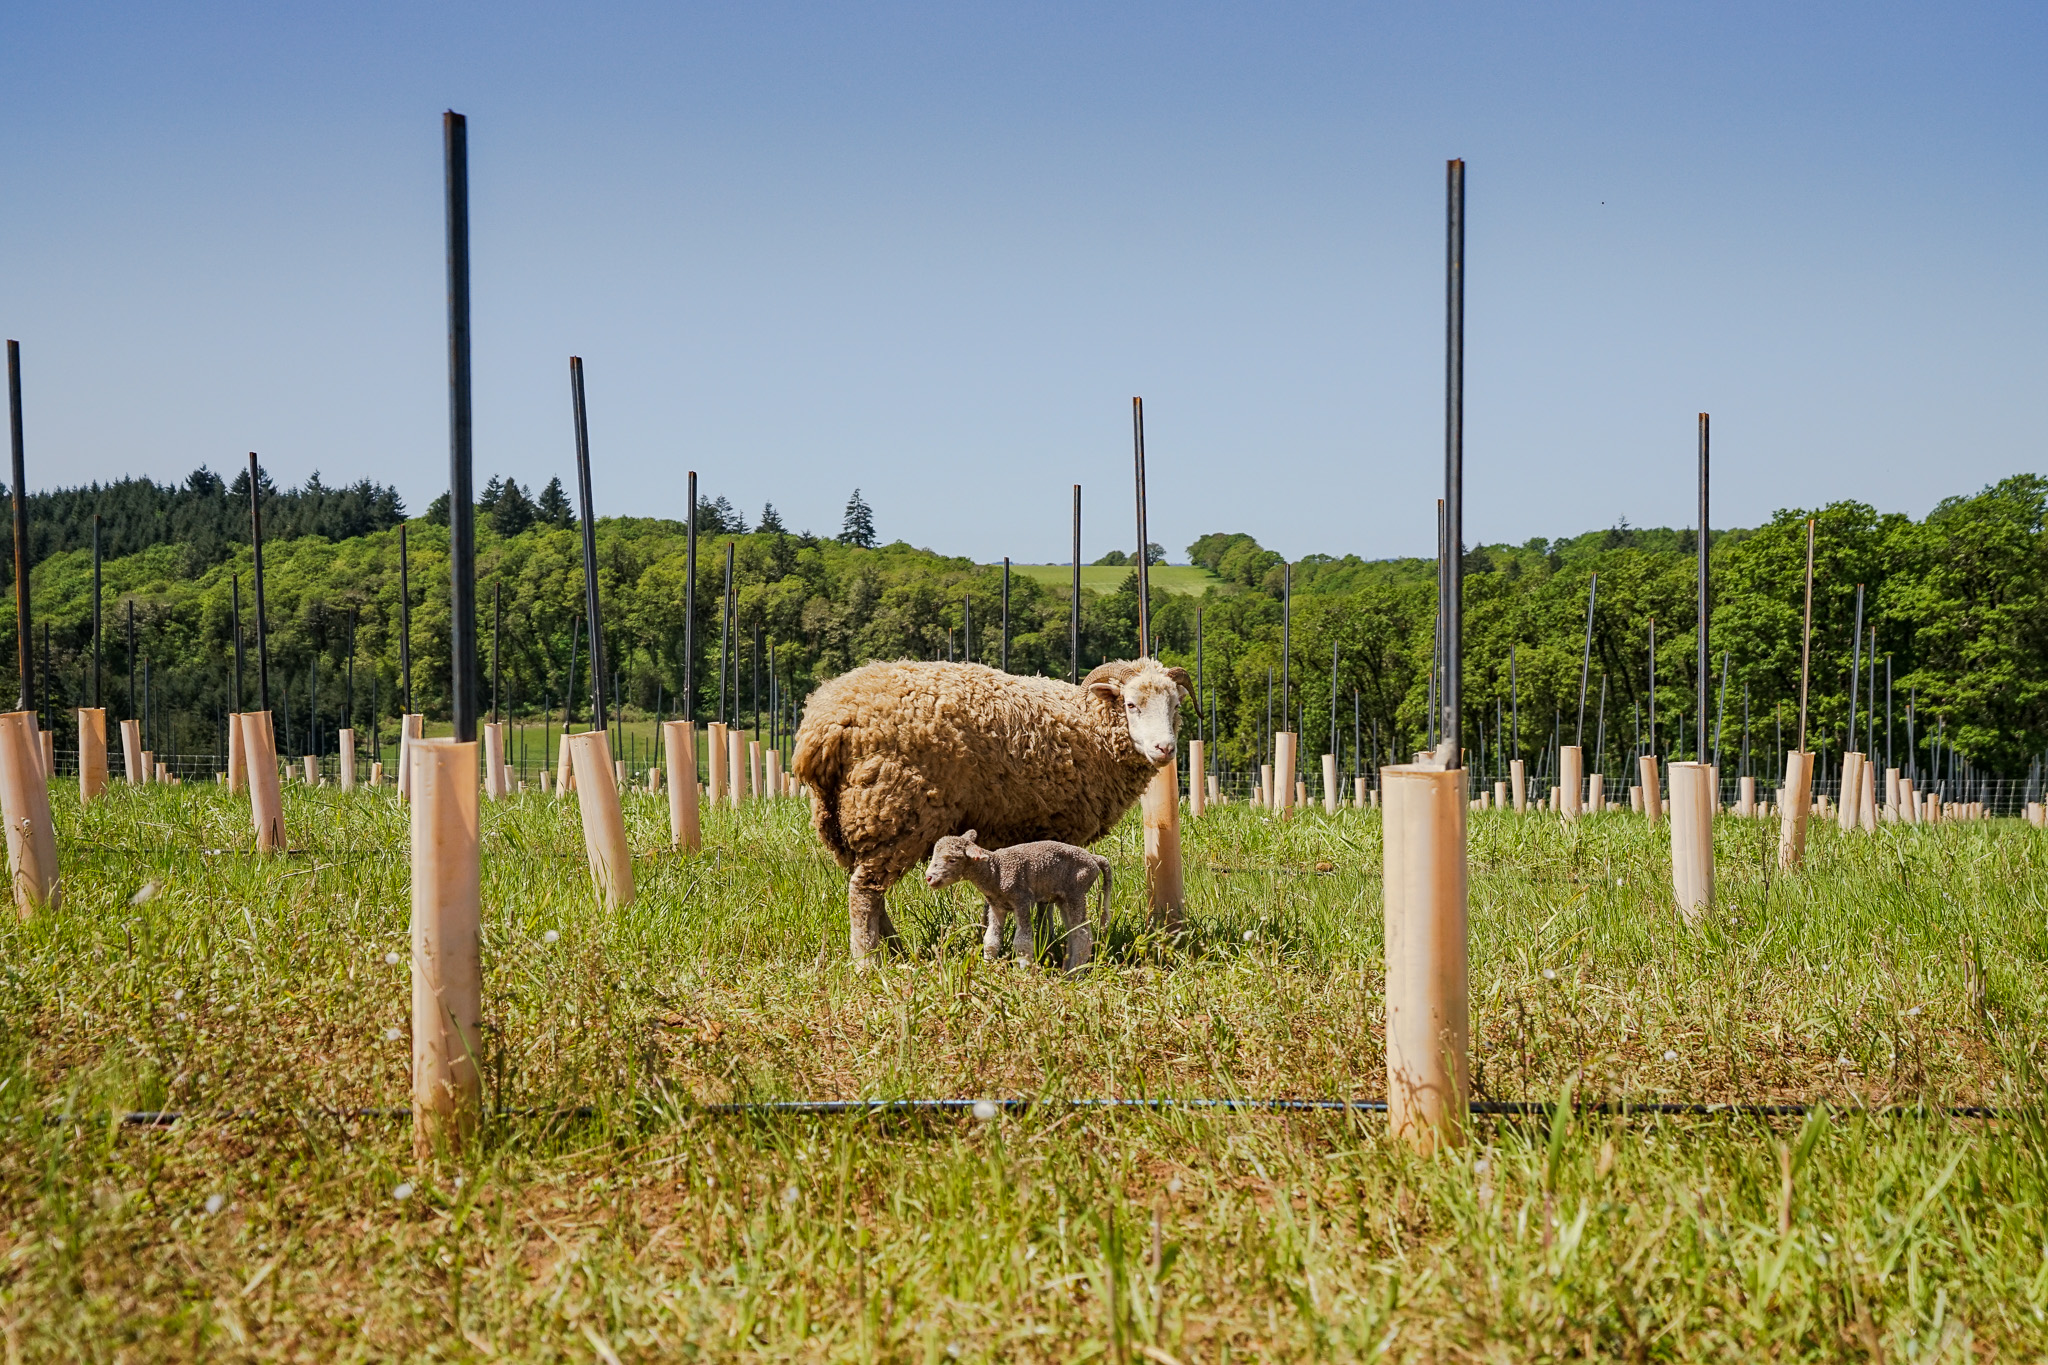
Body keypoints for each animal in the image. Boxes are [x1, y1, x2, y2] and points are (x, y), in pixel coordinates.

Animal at [924, 830, 1112, 971]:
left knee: (1083, 936)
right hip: (1064, 898)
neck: (995, 871)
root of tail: (1094, 859)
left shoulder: (1022, 900)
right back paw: (1068, 969)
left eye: (952, 859)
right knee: (1073, 933)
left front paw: (1022, 972)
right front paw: (987, 969)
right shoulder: (996, 906)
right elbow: (991, 940)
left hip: (1076, 891)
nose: (928, 878)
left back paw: (1073, 976)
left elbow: (1022, 942)